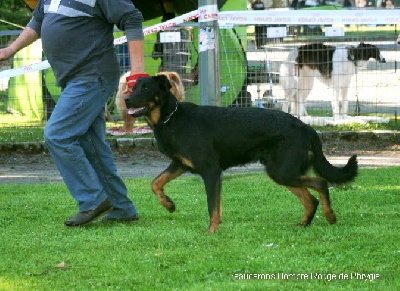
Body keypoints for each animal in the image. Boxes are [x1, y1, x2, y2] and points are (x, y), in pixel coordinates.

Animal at [126, 74, 358, 233]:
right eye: (133, 87)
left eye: (145, 88)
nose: (127, 100)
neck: (171, 119)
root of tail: (305, 127)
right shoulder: (180, 164)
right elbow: (155, 183)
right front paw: (168, 204)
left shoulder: (210, 171)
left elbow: (213, 207)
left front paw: (211, 232)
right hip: (282, 172)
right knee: (311, 199)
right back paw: (303, 224)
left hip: (283, 171)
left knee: (321, 184)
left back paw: (330, 216)